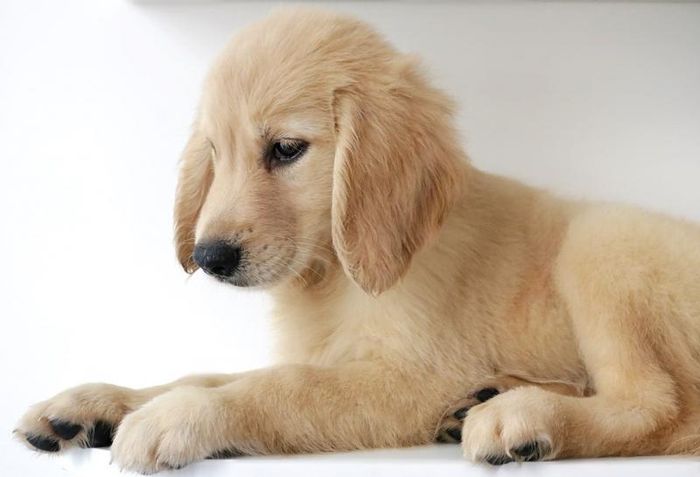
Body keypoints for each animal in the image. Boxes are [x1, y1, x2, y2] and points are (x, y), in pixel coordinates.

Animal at [16, 8, 700, 473]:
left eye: (286, 149)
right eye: (215, 153)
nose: (209, 258)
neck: (334, 275)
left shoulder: (412, 377)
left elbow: (278, 388)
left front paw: (177, 417)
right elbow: (207, 371)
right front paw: (95, 403)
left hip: (601, 244)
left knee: (662, 408)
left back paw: (521, 416)